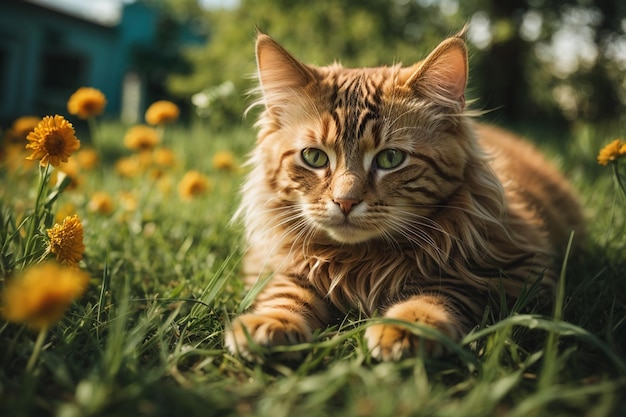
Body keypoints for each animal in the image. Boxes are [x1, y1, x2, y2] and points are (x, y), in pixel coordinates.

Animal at [225, 30, 584, 360]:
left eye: (390, 159)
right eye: (314, 157)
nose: (345, 201)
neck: (362, 261)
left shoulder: (513, 274)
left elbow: (440, 292)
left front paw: (407, 328)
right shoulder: (278, 263)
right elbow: (286, 292)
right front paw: (269, 323)